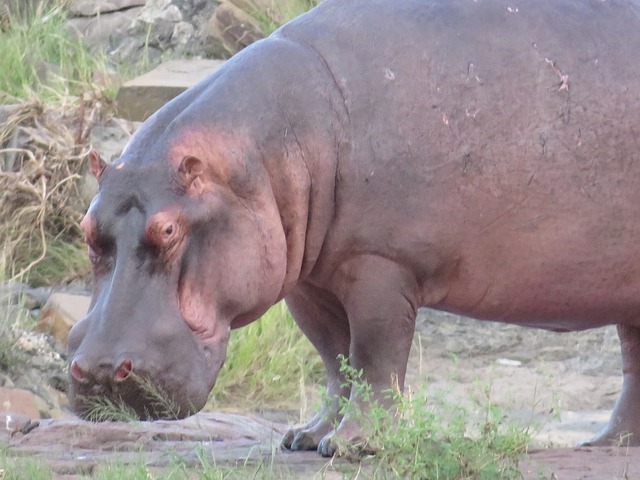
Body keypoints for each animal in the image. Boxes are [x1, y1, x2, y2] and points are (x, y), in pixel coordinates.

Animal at [68, 0, 640, 456]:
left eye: (168, 231)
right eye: (86, 226)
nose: (96, 371)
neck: (266, 149)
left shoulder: (380, 266)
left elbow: (374, 357)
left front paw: (351, 446)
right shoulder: (309, 282)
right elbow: (334, 359)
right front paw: (305, 436)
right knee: (634, 362)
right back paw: (610, 444)